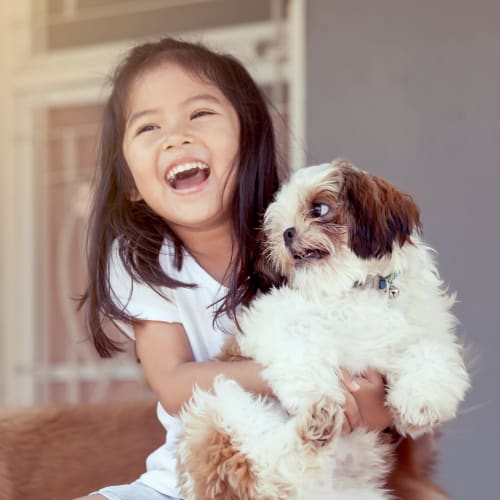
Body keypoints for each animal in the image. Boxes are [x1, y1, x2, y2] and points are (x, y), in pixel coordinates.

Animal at [176, 160, 468, 500]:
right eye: (278, 225)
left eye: (319, 209)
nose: (287, 233)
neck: (356, 289)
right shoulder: (270, 319)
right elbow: (302, 343)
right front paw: (316, 391)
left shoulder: (427, 330)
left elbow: (430, 353)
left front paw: (421, 401)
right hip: (218, 408)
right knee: (266, 468)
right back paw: (316, 422)